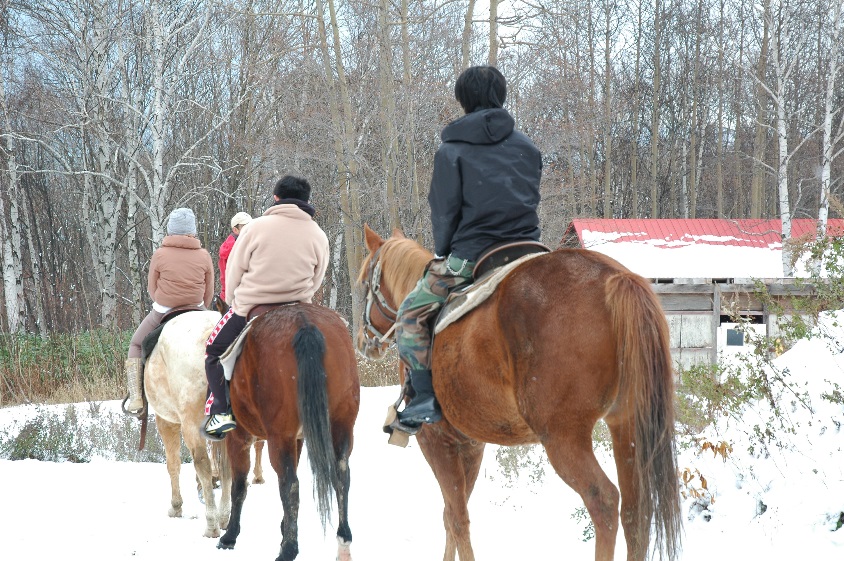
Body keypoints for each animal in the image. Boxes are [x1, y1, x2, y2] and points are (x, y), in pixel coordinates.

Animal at [218, 302, 360, 560]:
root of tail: (304, 323)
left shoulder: (239, 437)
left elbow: (239, 484)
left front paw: (230, 535)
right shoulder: (297, 439)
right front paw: (284, 529)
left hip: (278, 437)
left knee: (289, 484)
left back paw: (289, 550)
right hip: (342, 425)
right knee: (341, 474)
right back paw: (343, 542)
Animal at [354, 225, 680, 560]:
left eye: (364, 283)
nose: (364, 341)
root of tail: (614, 278)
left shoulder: (436, 441)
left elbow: (457, 518)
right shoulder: (470, 444)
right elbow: (451, 515)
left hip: (564, 438)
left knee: (604, 502)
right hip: (626, 425)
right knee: (635, 511)